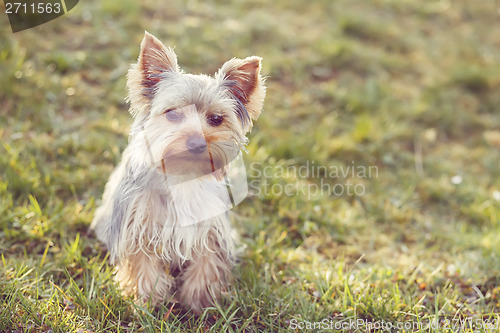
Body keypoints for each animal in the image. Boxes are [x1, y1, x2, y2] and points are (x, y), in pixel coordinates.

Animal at [92, 30, 268, 312]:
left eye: (216, 119)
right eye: (172, 114)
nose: (197, 143)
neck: (183, 174)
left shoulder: (211, 229)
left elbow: (207, 263)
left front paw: (200, 302)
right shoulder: (138, 225)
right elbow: (143, 265)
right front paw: (146, 301)